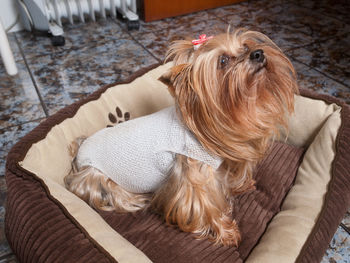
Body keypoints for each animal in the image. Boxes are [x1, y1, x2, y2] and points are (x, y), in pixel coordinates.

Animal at [65, 28, 298, 248]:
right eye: (223, 61)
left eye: (246, 46)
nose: (258, 54)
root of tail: (79, 154)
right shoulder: (195, 175)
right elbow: (206, 205)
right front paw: (227, 233)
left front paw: (242, 186)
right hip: (101, 181)